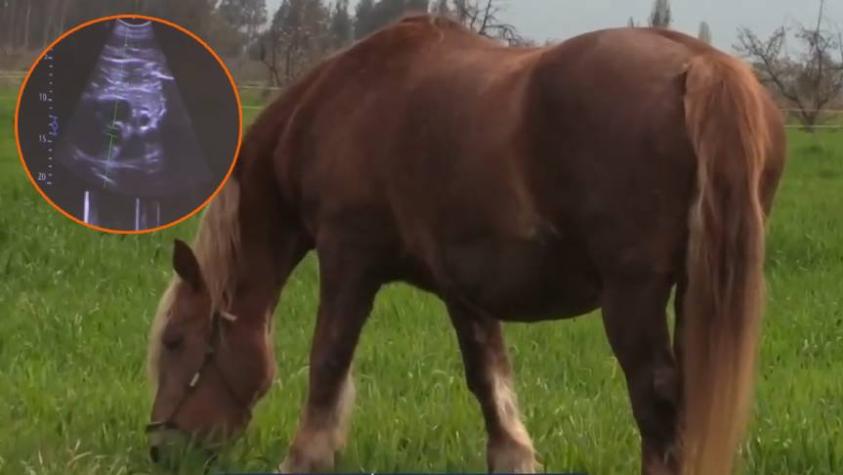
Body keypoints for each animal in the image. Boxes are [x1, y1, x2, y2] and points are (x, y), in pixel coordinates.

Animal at [145, 15, 786, 475]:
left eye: (176, 341)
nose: (159, 449)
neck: (347, 100)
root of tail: (703, 68)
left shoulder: (349, 259)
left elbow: (328, 360)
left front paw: (304, 458)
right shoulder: (464, 289)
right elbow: (487, 375)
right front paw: (514, 458)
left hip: (633, 295)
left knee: (656, 403)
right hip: (695, 290)